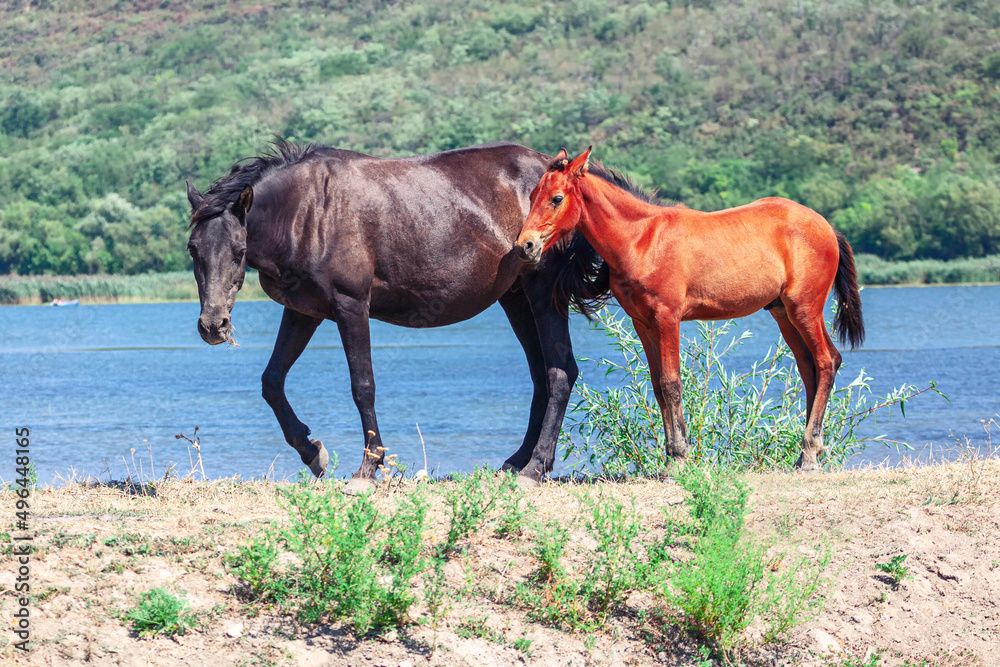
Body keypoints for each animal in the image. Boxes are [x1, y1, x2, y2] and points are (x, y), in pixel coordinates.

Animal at [186, 139, 605, 493]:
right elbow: (272, 381)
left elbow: (363, 387)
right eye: (193, 249)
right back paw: (518, 461)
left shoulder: (351, 306)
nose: (213, 325)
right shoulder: (303, 312)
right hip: (516, 299)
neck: (308, 211)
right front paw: (312, 451)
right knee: (540, 374)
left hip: (543, 293)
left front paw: (368, 468)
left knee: (560, 371)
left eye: (239, 251)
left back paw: (536, 467)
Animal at [514, 148, 865, 471]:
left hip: (804, 308)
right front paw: (671, 456)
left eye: (557, 198)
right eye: (531, 196)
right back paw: (804, 454)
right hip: (782, 313)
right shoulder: (643, 323)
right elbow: (658, 385)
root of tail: (828, 227)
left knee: (827, 361)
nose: (524, 246)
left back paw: (810, 451)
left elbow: (672, 384)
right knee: (808, 367)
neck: (642, 239)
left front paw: (680, 458)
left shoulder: (668, 318)